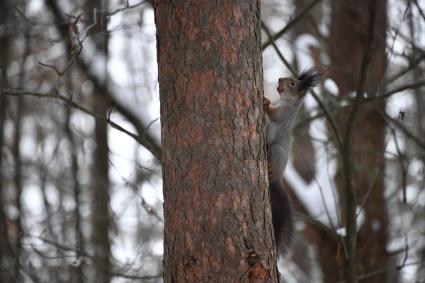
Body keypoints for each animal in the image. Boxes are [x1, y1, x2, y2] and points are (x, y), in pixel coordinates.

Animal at [264, 67, 320, 256]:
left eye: (293, 83)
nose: (280, 79)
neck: (286, 101)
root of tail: (277, 179)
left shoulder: (284, 113)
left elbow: (273, 115)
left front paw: (265, 102)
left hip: (276, 151)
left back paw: (270, 169)